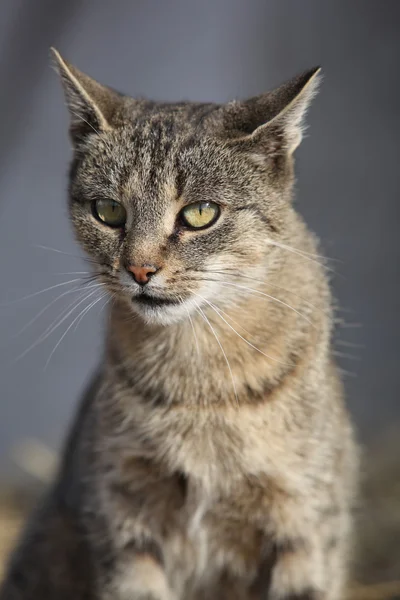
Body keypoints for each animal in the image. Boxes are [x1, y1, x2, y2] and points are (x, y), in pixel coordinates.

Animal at [0, 48, 358, 600]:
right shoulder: (124, 514)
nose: (140, 269)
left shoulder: (305, 520)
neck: (200, 377)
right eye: (109, 210)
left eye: (200, 213)